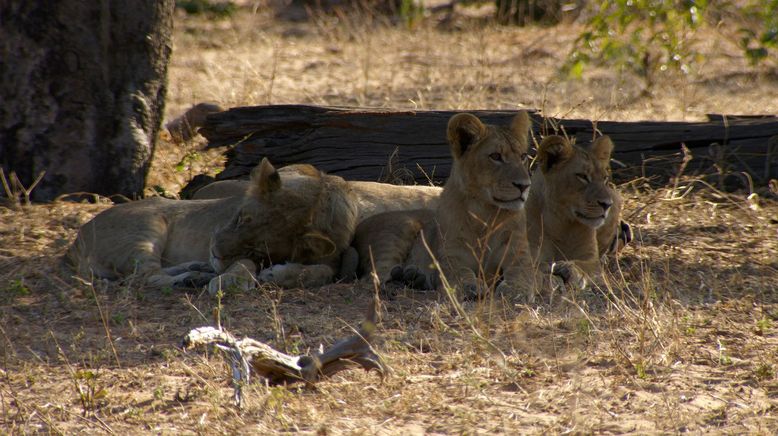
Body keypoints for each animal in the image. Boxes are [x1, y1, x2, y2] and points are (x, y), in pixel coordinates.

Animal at [66, 158, 358, 292]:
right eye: (240, 217)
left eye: (258, 248)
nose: (215, 253)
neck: (317, 199)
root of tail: (74, 242)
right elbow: (243, 266)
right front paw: (231, 281)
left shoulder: (332, 256)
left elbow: (324, 272)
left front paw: (282, 274)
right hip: (147, 227)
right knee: (144, 278)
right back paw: (192, 278)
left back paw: (196, 271)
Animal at [352, 110, 532, 300]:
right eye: (496, 156)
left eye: (523, 156)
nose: (524, 186)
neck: (486, 213)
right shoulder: (451, 257)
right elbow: (460, 273)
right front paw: (469, 286)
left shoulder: (520, 256)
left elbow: (522, 274)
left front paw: (516, 291)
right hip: (398, 232)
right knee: (371, 278)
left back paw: (413, 278)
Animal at [524, 134, 632, 290]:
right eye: (582, 176)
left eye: (604, 178)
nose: (607, 204)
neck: (561, 222)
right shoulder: (531, 252)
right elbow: (535, 267)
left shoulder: (591, 259)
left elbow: (585, 266)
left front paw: (570, 270)